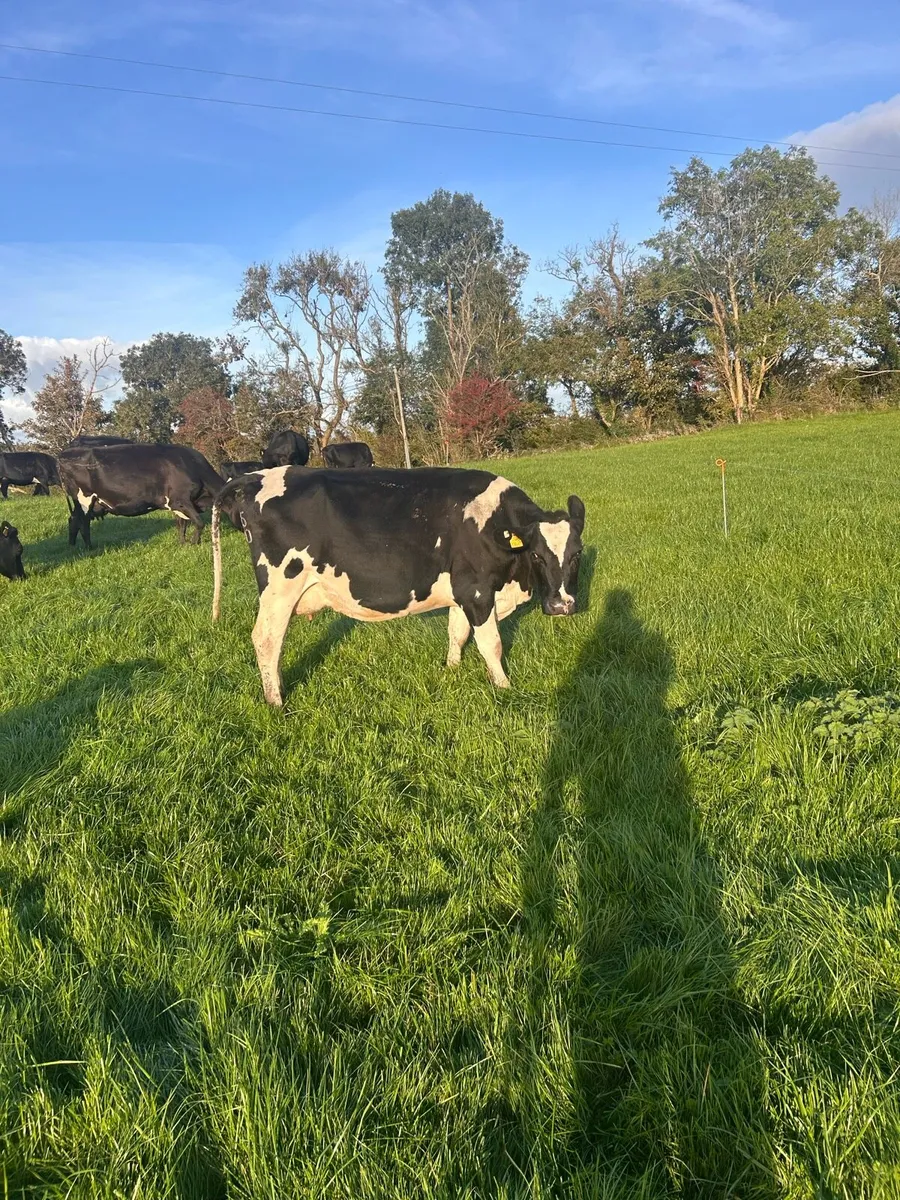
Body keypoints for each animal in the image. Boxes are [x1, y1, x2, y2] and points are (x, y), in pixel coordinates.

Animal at [58, 443, 225, 548]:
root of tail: (64, 454)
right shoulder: (181, 500)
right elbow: (198, 522)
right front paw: (194, 543)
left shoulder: (176, 504)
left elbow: (181, 525)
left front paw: (183, 543)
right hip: (84, 500)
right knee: (83, 523)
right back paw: (89, 547)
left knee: (73, 520)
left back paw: (72, 545)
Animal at [211, 467, 585, 705]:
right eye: (536, 555)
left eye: (577, 553)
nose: (561, 605)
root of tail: (254, 475)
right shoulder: (477, 590)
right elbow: (490, 644)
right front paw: (505, 687)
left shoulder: (460, 591)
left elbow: (457, 633)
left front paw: (452, 670)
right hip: (281, 587)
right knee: (267, 639)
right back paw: (275, 700)